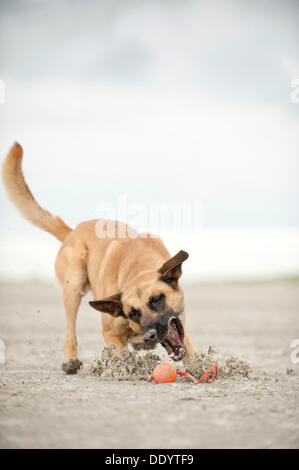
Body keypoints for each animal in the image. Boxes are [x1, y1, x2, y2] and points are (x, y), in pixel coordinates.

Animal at [2, 143, 197, 374]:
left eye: (157, 299)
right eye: (133, 313)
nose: (149, 335)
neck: (137, 267)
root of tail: (72, 231)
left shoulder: (179, 322)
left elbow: (188, 348)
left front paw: (200, 368)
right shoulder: (110, 333)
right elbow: (121, 356)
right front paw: (125, 370)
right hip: (74, 283)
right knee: (70, 329)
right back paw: (71, 359)